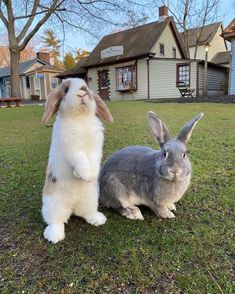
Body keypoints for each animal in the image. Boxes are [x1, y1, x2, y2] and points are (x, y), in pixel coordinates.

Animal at [41, 77, 113, 243]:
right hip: (53, 205)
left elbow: (93, 159)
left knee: (85, 213)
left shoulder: (95, 148)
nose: (82, 92)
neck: (80, 118)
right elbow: (80, 160)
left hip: (91, 199)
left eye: (85, 86)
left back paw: (98, 219)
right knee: (56, 221)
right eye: (66, 89)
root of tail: (72, 206)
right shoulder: (72, 149)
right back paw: (54, 236)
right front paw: (86, 176)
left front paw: (92, 175)